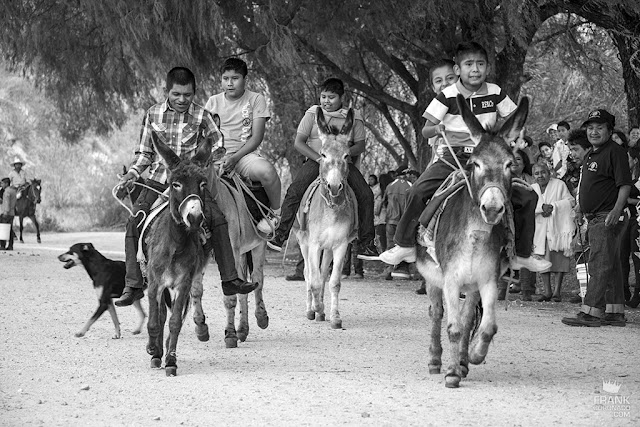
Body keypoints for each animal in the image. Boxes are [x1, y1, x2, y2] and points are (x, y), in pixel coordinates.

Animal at [144, 133, 211, 374]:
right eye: (176, 184)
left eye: (203, 184)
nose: (195, 218)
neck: (176, 244)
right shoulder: (154, 282)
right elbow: (154, 321)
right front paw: (154, 351)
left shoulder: (183, 282)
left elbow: (175, 322)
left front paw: (171, 361)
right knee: (160, 315)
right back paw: (155, 350)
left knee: (173, 316)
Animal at [296, 107, 356, 332]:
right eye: (323, 155)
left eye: (347, 156)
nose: (335, 186)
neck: (331, 209)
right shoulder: (313, 244)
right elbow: (312, 280)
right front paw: (316, 307)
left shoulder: (340, 245)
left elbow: (333, 281)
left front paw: (334, 317)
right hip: (303, 243)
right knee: (308, 273)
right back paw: (311, 309)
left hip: (328, 248)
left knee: (322, 274)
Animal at [416, 93, 528, 388]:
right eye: (475, 164)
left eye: (510, 164)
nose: (492, 208)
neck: (475, 237)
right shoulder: (450, 280)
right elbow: (453, 327)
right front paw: (451, 373)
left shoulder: (488, 280)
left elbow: (486, 326)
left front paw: (474, 357)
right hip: (432, 278)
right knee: (436, 313)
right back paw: (435, 361)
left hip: (473, 285)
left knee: (468, 319)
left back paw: (464, 361)